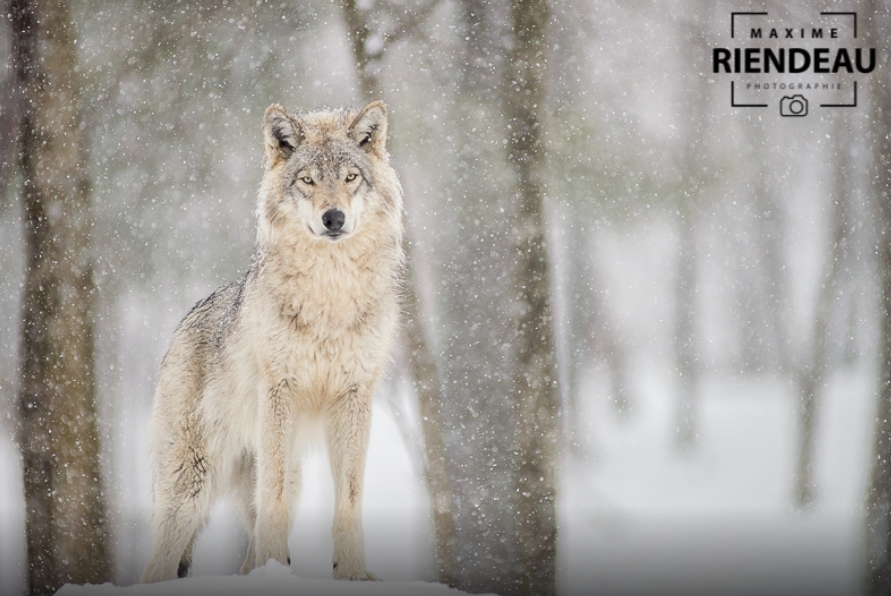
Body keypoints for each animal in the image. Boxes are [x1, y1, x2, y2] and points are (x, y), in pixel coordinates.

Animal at [141, 101, 403, 583]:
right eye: (308, 180)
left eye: (350, 177)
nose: (333, 217)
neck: (329, 297)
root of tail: (180, 327)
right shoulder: (280, 391)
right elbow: (274, 495)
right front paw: (277, 567)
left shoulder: (355, 397)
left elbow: (350, 496)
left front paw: (353, 572)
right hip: (191, 486)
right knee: (160, 563)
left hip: (280, 473)